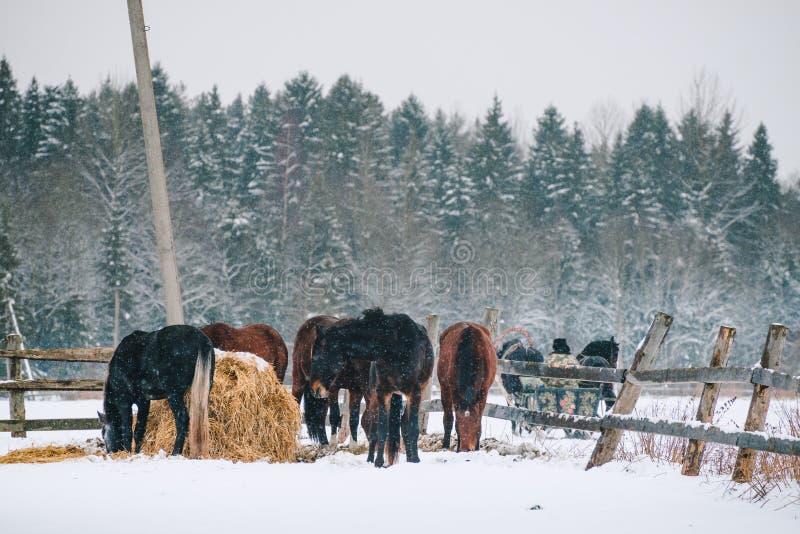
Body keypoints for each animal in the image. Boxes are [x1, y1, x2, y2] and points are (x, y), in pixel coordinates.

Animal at [96, 324, 214, 458]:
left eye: (103, 433)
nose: (111, 452)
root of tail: (200, 339)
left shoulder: (124, 401)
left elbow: (127, 429)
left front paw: (128, 452)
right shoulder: (144, 401)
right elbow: (139, 430)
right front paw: (137, 452)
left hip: (174, 395)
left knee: (182, 419)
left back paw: (175, 452)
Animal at [290, 316, 372, 446]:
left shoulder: (356, 390)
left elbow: (354, 419)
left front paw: (353, 446)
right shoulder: (334, 388)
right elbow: (334, 416)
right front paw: (333, 444)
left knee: (321, 416)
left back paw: (324, 442)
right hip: (300, 382)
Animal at [310, 310, 434, 468]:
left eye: (320, 355)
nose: (315, 389)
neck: (394, 347)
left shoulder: (414, 392)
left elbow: (412, 428)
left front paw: (415, 460)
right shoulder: (382, 392)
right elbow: (381, 429)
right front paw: (378, 462)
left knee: (404, 423)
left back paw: (410, 458)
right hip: (374, 395)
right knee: (373, 425)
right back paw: (370, 459)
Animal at [438, 322, 494, 452]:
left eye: (474, 424)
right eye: (460, 424)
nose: (466, 448)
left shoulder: (483, 392)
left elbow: (480, 419)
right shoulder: (453, 390)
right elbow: (452, 420)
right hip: (444, 388)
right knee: (447, 418)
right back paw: (445, 445)